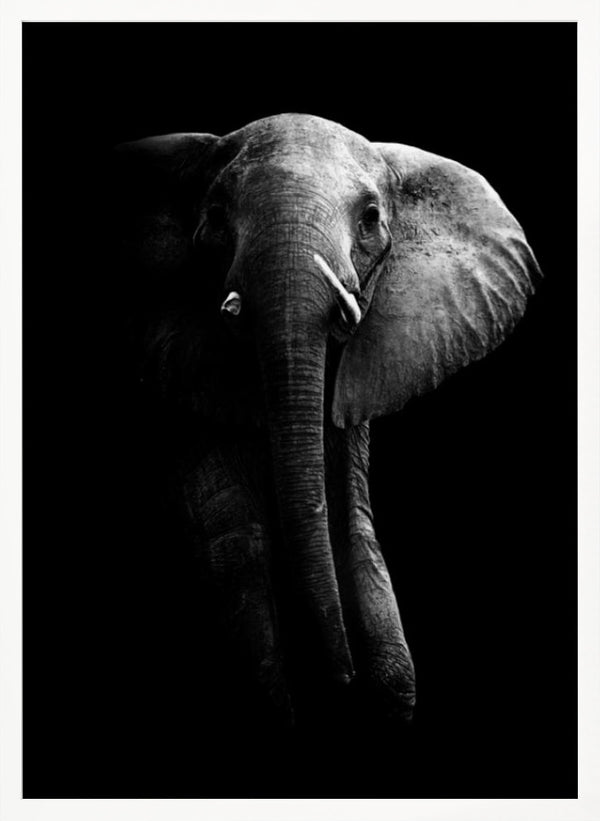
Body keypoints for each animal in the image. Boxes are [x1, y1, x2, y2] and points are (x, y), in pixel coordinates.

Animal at [114, 113, 541, 730]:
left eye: (370, 219)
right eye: (215, 215)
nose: (341, 682)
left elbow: (348, 514)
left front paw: (385, 693)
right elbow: (229, 529)